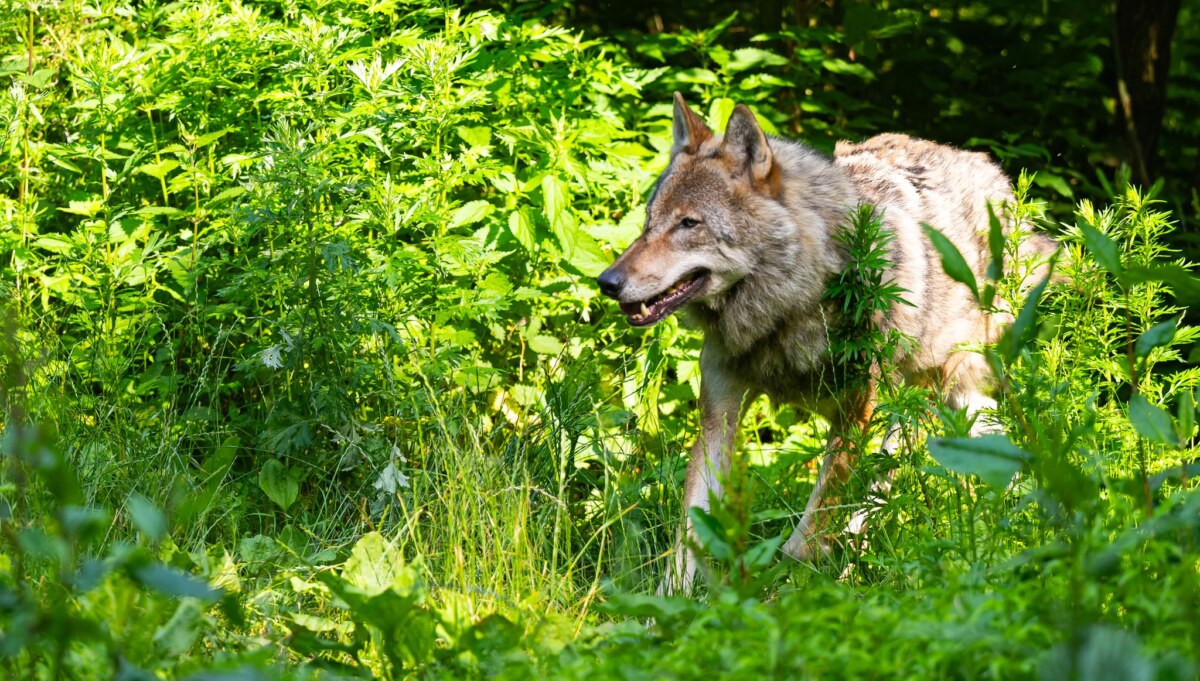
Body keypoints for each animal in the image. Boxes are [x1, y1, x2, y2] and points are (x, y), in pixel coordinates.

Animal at [596, 93, 1055, 593]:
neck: (786, 311)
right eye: (649, 222)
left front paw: (788, 596)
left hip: (926, 402)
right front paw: (662, 609)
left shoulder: (856, 417)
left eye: (688, 224)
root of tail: (992, 172)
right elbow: (687, 540)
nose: (607, 282)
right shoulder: (720, 417)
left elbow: (808, 536)